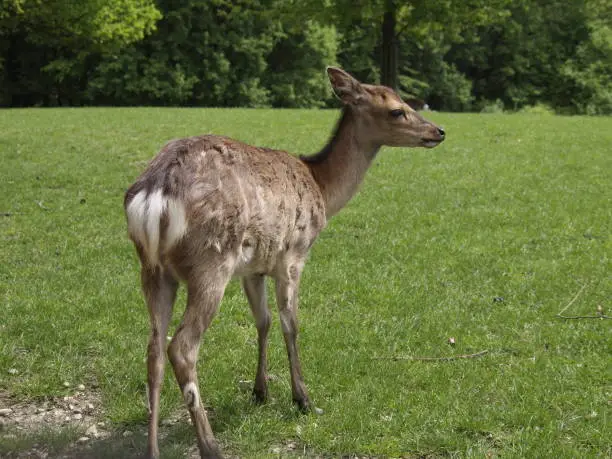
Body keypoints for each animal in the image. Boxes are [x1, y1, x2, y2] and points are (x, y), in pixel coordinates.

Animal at [124, 66, 448, 458]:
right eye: (397, 110)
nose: (438, 131)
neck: (322, 189)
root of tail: (154, 194)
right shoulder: (294, 255)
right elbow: (290, 324)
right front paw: (303, 399)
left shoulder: (253, 268)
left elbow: (262, 321)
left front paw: (260, 391)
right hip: (210, 264)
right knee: (182, 347)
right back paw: (211, 445)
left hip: (153, 270)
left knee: (154, 349)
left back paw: (153, 449)